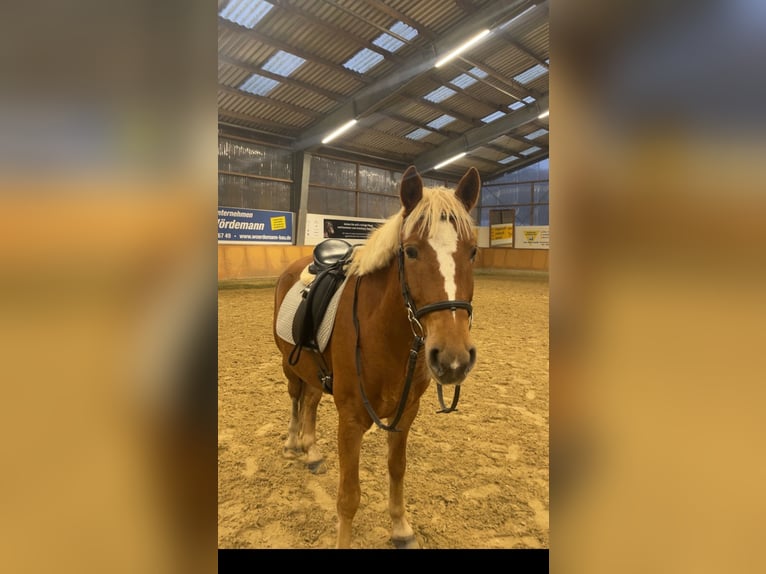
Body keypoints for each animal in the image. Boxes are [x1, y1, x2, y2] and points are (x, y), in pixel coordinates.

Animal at [272, 165, 480, 548]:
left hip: (313, 370)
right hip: (288, 365)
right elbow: (348, 496)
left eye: (472, 252)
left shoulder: (405, 414)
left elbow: (397, 469)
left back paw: (311, 450)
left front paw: (400, 527)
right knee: (296, 398)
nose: (453, 357)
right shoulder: (351, 419)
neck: (384, 336)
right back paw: (294, 443)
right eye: (410, 251)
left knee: (310, 400)